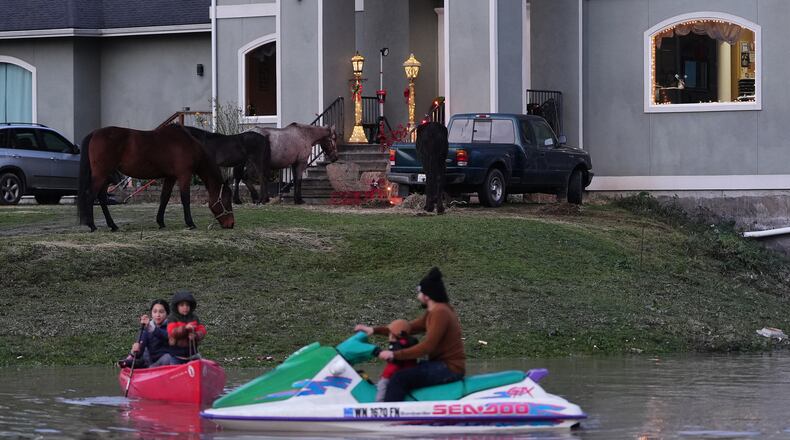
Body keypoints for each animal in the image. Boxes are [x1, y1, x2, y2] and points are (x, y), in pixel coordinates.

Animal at [77, 125, 235, 232]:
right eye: (226, 200)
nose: (231, 224)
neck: (188, 144)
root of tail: (95, 133)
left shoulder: (170, 177)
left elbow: (164, 197)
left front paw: (161, 222)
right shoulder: (184, 175)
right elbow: (185, 199)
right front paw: (190, 223)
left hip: (105, 175)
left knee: (102, 197)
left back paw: (113, 225)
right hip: (101, 174)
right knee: (91, 195)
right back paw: (92, 225)